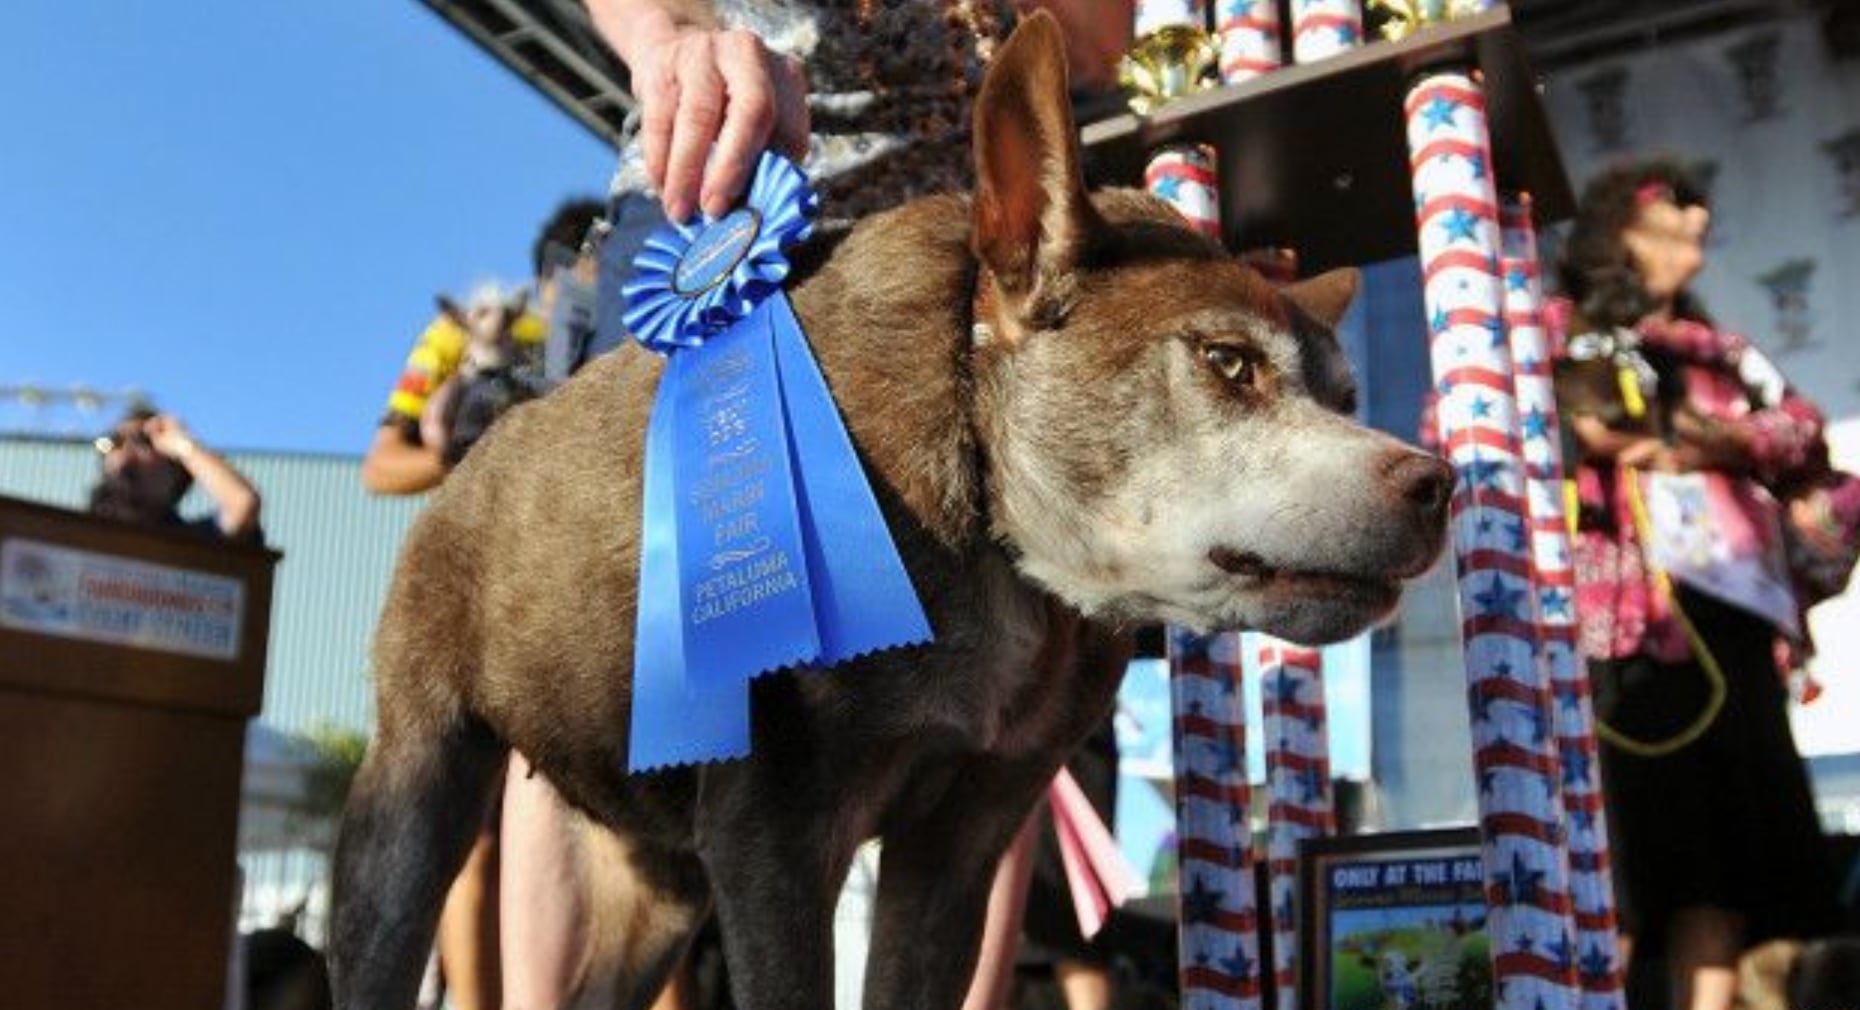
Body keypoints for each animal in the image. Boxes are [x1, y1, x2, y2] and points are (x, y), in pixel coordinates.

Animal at [331, 13, 1450, 1010]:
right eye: (1227, 363)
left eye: (1347, 395)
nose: (1437, 481)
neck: (996, 532)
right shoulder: (775, 838)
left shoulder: (957, 851)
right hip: (415, 796)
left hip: (663, 881)